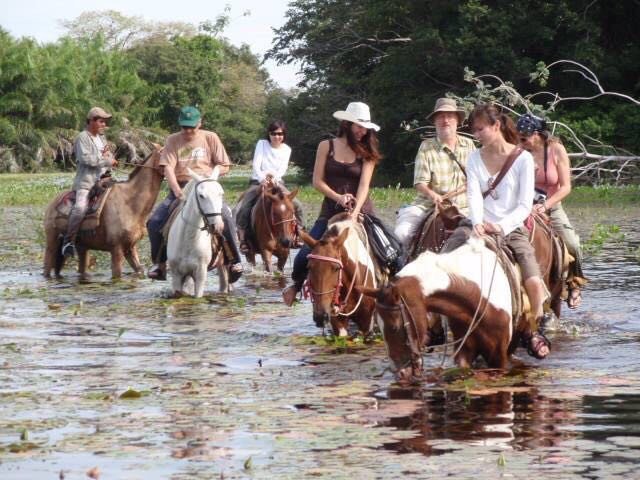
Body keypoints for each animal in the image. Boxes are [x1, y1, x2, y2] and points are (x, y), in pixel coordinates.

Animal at [42, 148, 162, 280]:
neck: (130, 203)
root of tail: (52, 203)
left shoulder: (130, 248)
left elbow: (139, 270)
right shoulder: (116, 249)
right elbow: (117, 275)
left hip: (81, 247)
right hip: (52, 243)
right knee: (47, 268)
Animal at [168, 168, 230, 296]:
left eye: (221, 194)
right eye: (201, 196)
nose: (218, 226)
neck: (188, 240)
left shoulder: (200, 274)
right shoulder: (176, 275)